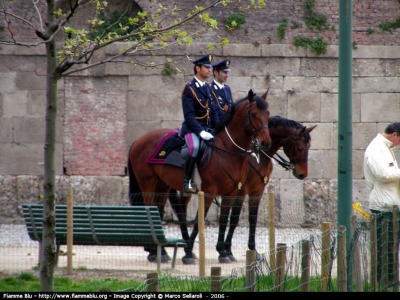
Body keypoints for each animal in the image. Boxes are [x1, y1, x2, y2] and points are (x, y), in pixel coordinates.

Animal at [128, 89, 272, 264]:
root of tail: (138, 140)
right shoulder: (209, 193)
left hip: (162, 186)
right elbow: (199, 221)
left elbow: (223, 220)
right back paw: (155, 252)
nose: (266, 143)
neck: (227, 150)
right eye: (253, 114)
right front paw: (189, 252)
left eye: (267, 114)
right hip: (148, 184)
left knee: (159, 212)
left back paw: (160, 252)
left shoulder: (231, 193)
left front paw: (222, 253)